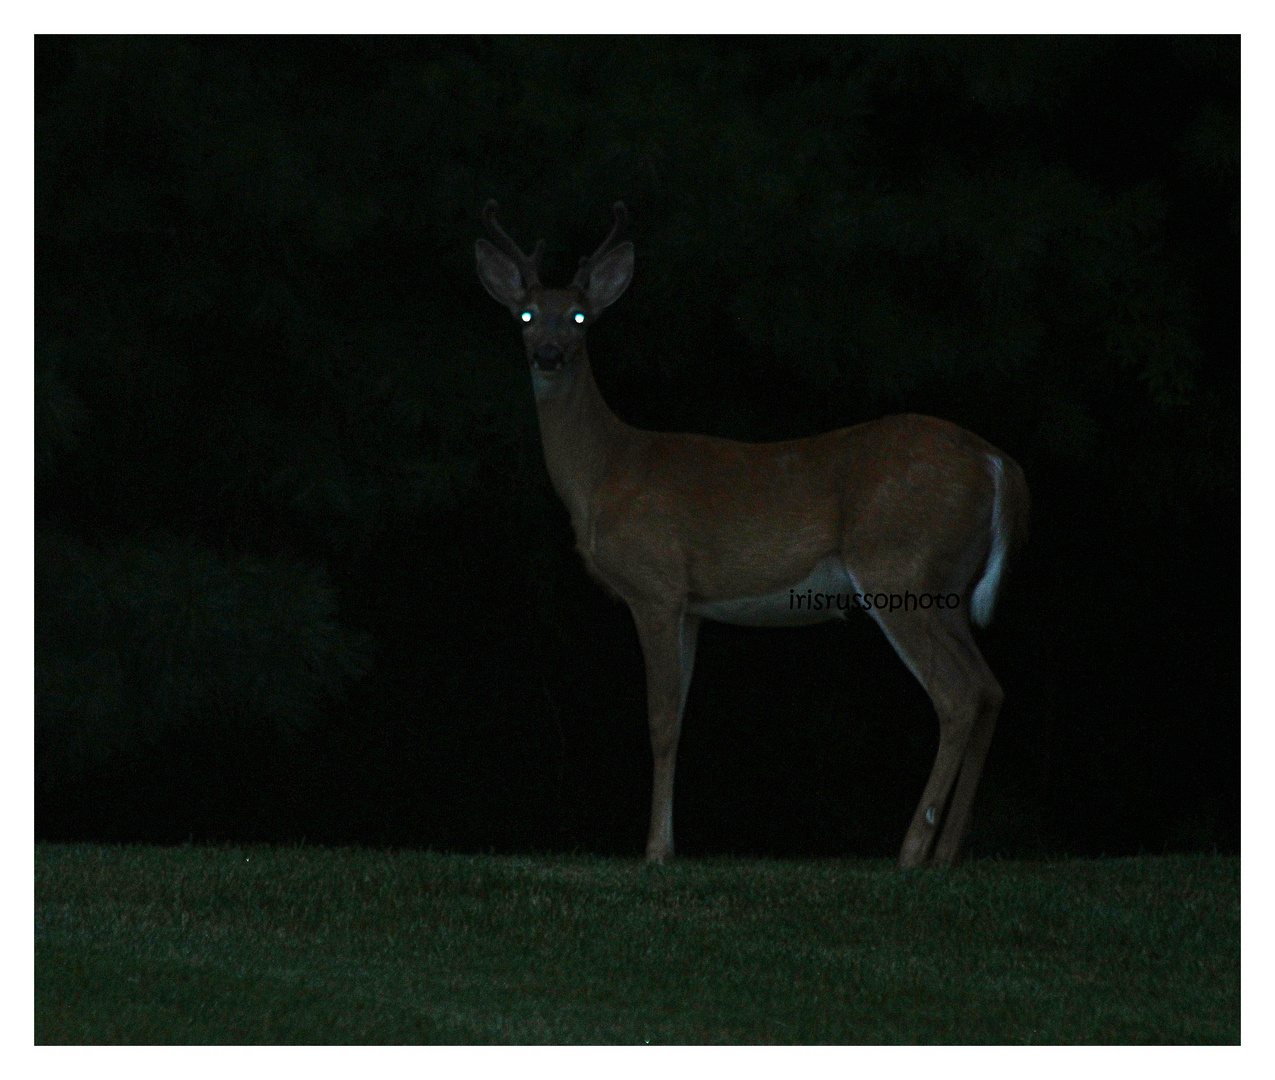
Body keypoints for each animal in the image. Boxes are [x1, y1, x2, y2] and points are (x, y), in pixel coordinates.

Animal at [474, 200, 1030, 872]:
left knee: (957, 694)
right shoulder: (690, 605)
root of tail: (998, 464)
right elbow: (680, 716)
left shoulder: (655, 585)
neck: (607, 470)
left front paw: (655, 850)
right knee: (990, 689)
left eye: (580, 316)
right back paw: (946, 854)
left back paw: (911, 850)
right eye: (527, 314)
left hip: (897, 566)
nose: (550, 354)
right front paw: (670, 842)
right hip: (945, 583)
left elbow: (659, 718)